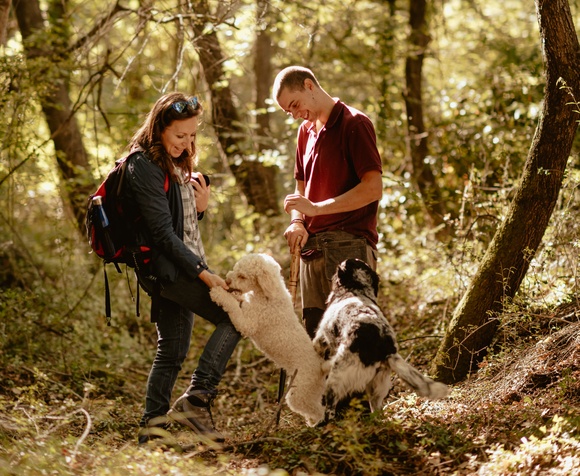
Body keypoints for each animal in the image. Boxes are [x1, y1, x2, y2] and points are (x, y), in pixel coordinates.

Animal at [208, 255, 326, 426]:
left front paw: (218, 293)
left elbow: (233, 306)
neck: (267, 293)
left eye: (242, 276)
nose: (227, 281)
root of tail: (321, 367)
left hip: (298, 393)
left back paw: (315, 424)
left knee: (317, 410)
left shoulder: (247, 324)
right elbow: (238, 300)